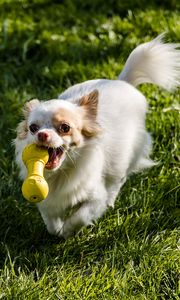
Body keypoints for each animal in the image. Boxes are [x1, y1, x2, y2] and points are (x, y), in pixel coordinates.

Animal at [14, 34, 179, 237]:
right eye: (33, 128)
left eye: (65, 127)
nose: (42, 134)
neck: (62, 173)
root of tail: (122, 81)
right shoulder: (47, 201)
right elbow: (51, 223)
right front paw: (58, 230)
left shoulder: (95, 197)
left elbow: (80, 216)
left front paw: (67, 231)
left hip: (124, 159)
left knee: (117, 181)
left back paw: (110, 201)